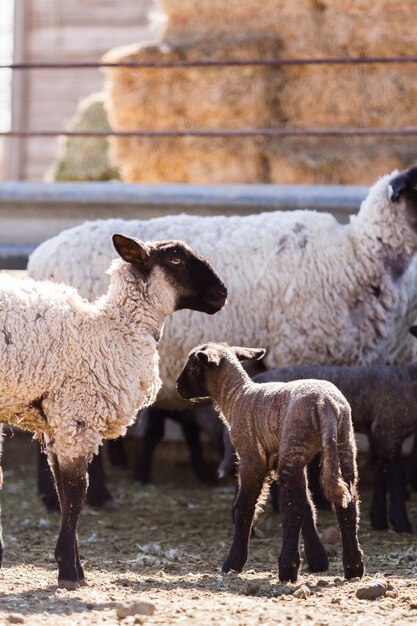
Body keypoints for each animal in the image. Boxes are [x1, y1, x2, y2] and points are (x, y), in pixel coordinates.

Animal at [0, 232, 226, 588]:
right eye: (176, 260)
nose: (222, 294)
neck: (110, 332)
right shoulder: (76, 417)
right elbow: (77, 493)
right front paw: (69, 572)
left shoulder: (59, 425)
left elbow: (64, 492)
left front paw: (74, 566)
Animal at [176, 342, 364, 580]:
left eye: (193, 366)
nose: (178, 387)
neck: (236, 398)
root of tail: (325, 403)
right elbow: (308, 506)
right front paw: (318, 560)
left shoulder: (251, 458)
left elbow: (245, 505)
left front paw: (233, 563)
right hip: (341, 444)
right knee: (347, 505)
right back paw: (354, 567)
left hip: (295, 443)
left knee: (292, 508)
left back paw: (287, 568)